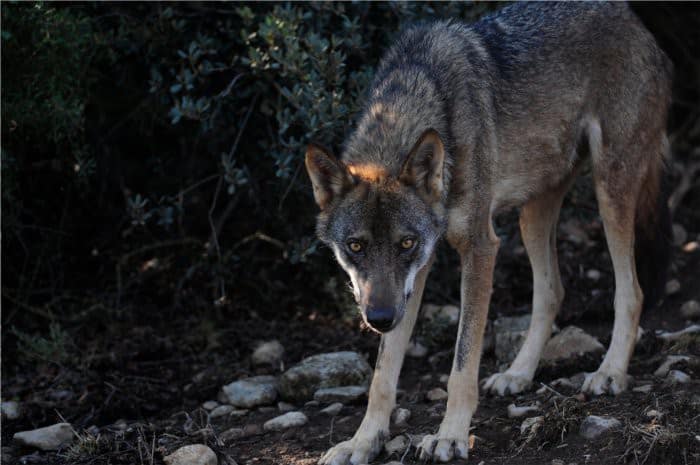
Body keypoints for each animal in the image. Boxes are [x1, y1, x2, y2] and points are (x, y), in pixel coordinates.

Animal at [305, 2, 672, 463]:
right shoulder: (418, 274)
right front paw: (363, 441)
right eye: (355, 246)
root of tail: (633, 18)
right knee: (552, 292)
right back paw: (517, 373)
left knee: (631, 291)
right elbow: (382, 376)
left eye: (405, 243)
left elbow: (462, 362)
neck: (417, 102)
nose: (381, 319)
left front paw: (450, 436)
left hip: (610, 190)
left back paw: (609, 372)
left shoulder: (479, 247)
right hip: (532, 215)